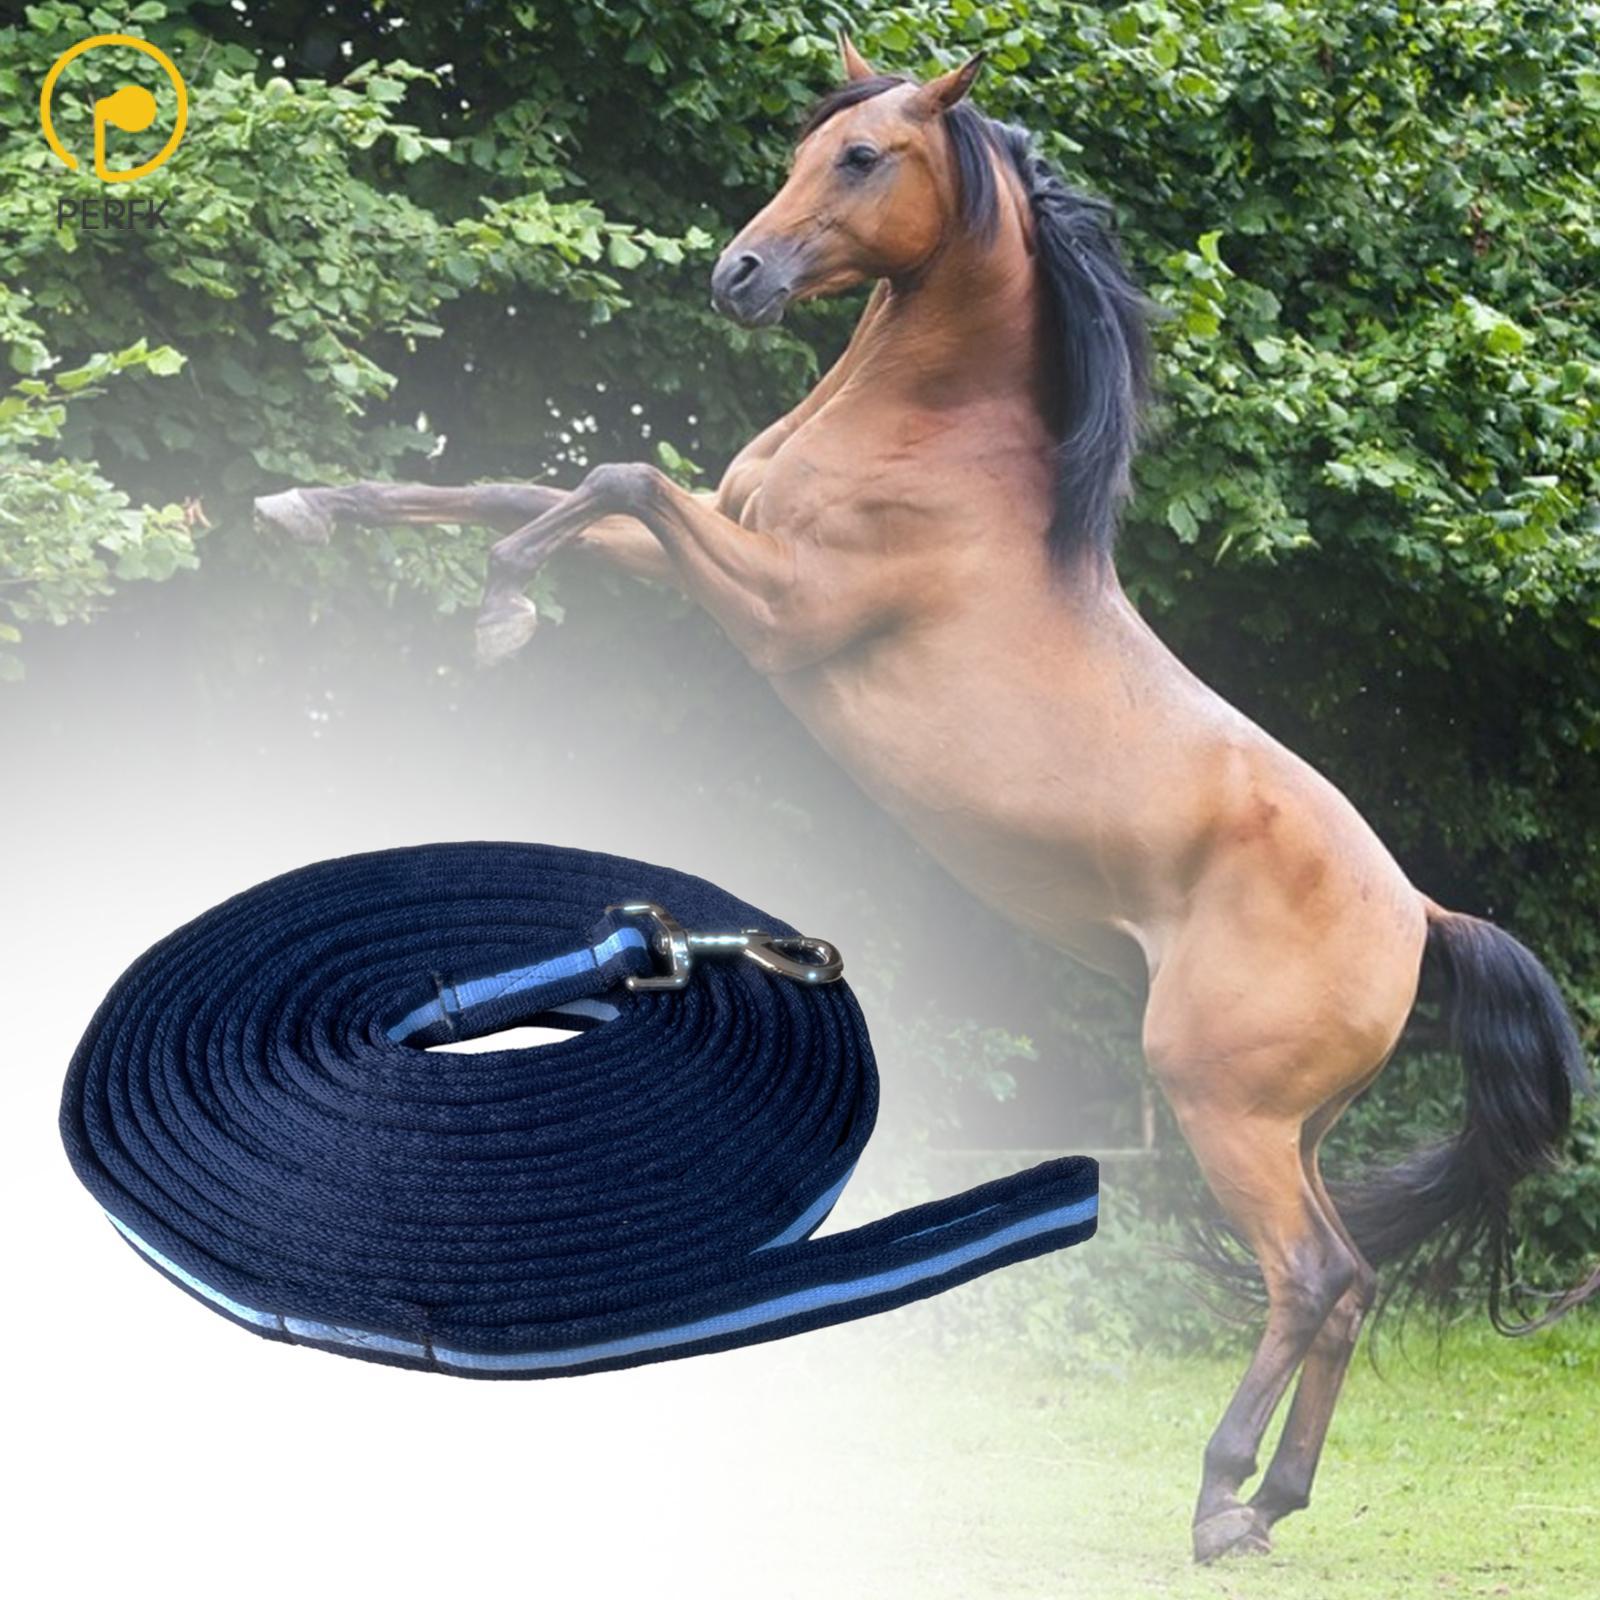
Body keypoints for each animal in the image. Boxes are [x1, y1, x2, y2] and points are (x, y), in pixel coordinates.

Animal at [254, 39, 1591, 1562]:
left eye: (862, 157)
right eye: (805, 147)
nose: (738, 275)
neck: (929, 449)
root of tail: (1420, 915)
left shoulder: (776, 609)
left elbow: (611, 474)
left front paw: (500, 614)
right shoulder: (706, 551)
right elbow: (515, 485)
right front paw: (308, 505)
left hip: (1223, 1107)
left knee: (1309, 1275)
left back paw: (1215, 1503)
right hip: (1288, 1123)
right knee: (1355, 1280)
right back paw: (1274, 1504)